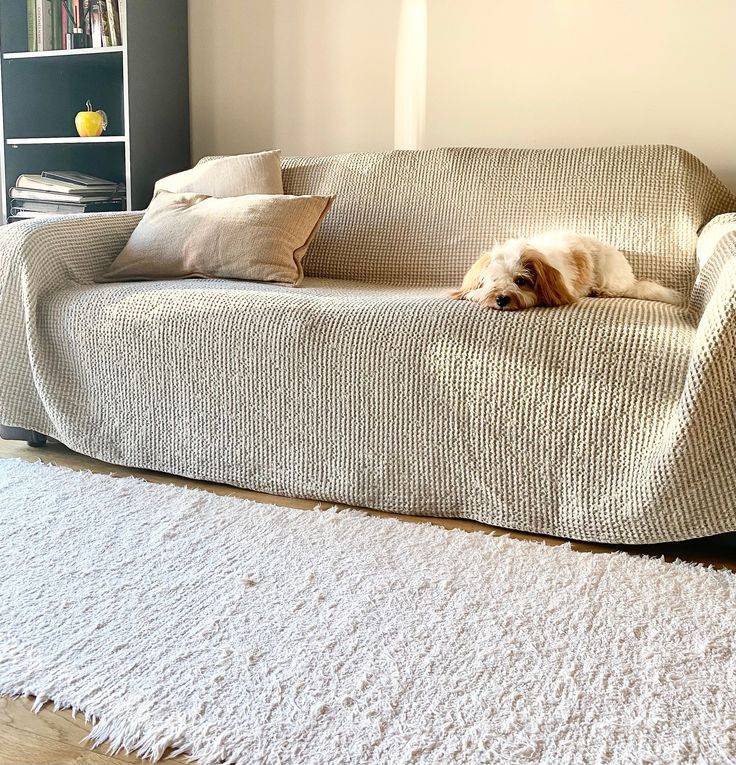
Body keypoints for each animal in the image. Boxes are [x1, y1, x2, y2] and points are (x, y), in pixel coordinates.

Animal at [452, 230, 680, 310]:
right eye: (493, 280)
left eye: (520, 281)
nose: (501, 299)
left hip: (608, 271)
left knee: (619, 289)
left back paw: (601, 291)